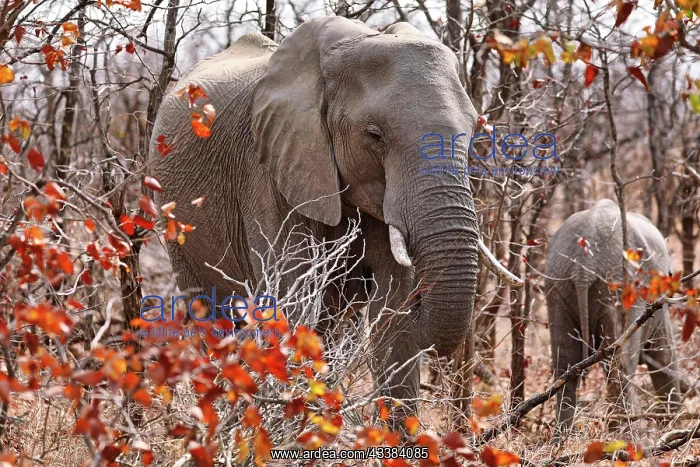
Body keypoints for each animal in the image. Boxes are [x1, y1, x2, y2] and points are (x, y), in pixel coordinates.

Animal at [148, 16, 521, 417]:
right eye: (375, 136)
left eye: (472, 134)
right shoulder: (267, 168)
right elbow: (295, 300)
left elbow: (394, 317)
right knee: (210, 315)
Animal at [545, 199, 681, 434]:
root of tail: (583, 269)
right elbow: (663, 355)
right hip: (619, 288)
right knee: (621, 367)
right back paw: (631, 433)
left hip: (558, 284)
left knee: (564, 365)